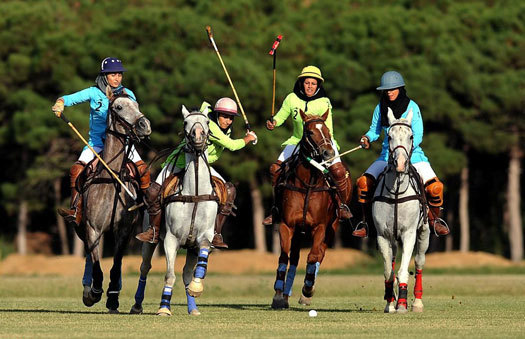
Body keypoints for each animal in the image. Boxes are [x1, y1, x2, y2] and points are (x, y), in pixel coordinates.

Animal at [82, 89, 150, 314]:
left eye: (137, 105)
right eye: (118, 107)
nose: (144, 125)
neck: (111, 179)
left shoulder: (124, 231)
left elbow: (116, 265)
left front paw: (112, 298)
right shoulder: (92, 228)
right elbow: (96, 264)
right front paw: (94, 292)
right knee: (89, 258)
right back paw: (88, 290)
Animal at [130, 105, 217, 316]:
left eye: (207, 122)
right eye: (186, 122)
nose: (198, 135)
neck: (194, 193)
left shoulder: (204, 237)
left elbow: (198, 265)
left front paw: (196, 288)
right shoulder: (171, 239)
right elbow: (169, 275)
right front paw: (164, 307)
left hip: (191, 247)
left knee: (186, 273)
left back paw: (193, 308)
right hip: (150, 238)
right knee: (145, 267)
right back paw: (137, 305)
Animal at [270, 110, 352, 310]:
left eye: (328, 130)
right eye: (310, 132)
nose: (329, 153)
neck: (308, 184)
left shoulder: (320, 227)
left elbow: (314, 256)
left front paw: (307, 290)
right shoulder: (287, 225)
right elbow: (284, 257)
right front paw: (278, 296)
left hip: (333, 227)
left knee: (319, 254)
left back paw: (307, 291)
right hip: (299, 232)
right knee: (294, 258)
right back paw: (286, 295)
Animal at [370, 108, 428, 314]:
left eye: (411, 136)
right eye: (389, 136)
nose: (401, 164)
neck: (395, 191)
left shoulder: (409, 233)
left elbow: (403, 270)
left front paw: (402, 303)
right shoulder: (382, 235)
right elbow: (388, 271)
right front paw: (390, 302)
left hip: (424, 233)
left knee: (419, 262)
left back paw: (417, 302)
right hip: (393, 240)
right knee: (394, 262)